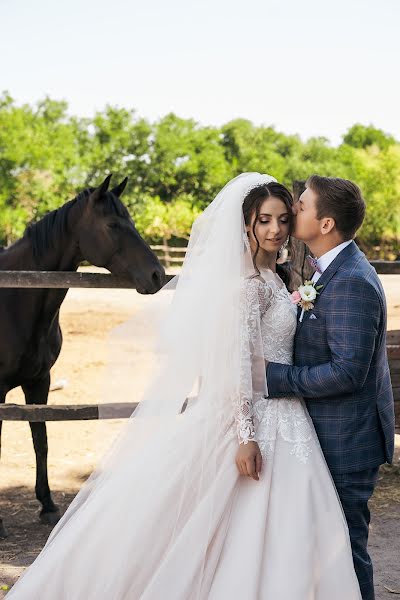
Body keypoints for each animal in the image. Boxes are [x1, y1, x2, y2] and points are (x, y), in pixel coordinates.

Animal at [0, 176, 165, 536]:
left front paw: (47, 505)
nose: (158, 275)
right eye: (113, 224)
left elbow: (41, 440)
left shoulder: (39, 383)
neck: (15, 297)